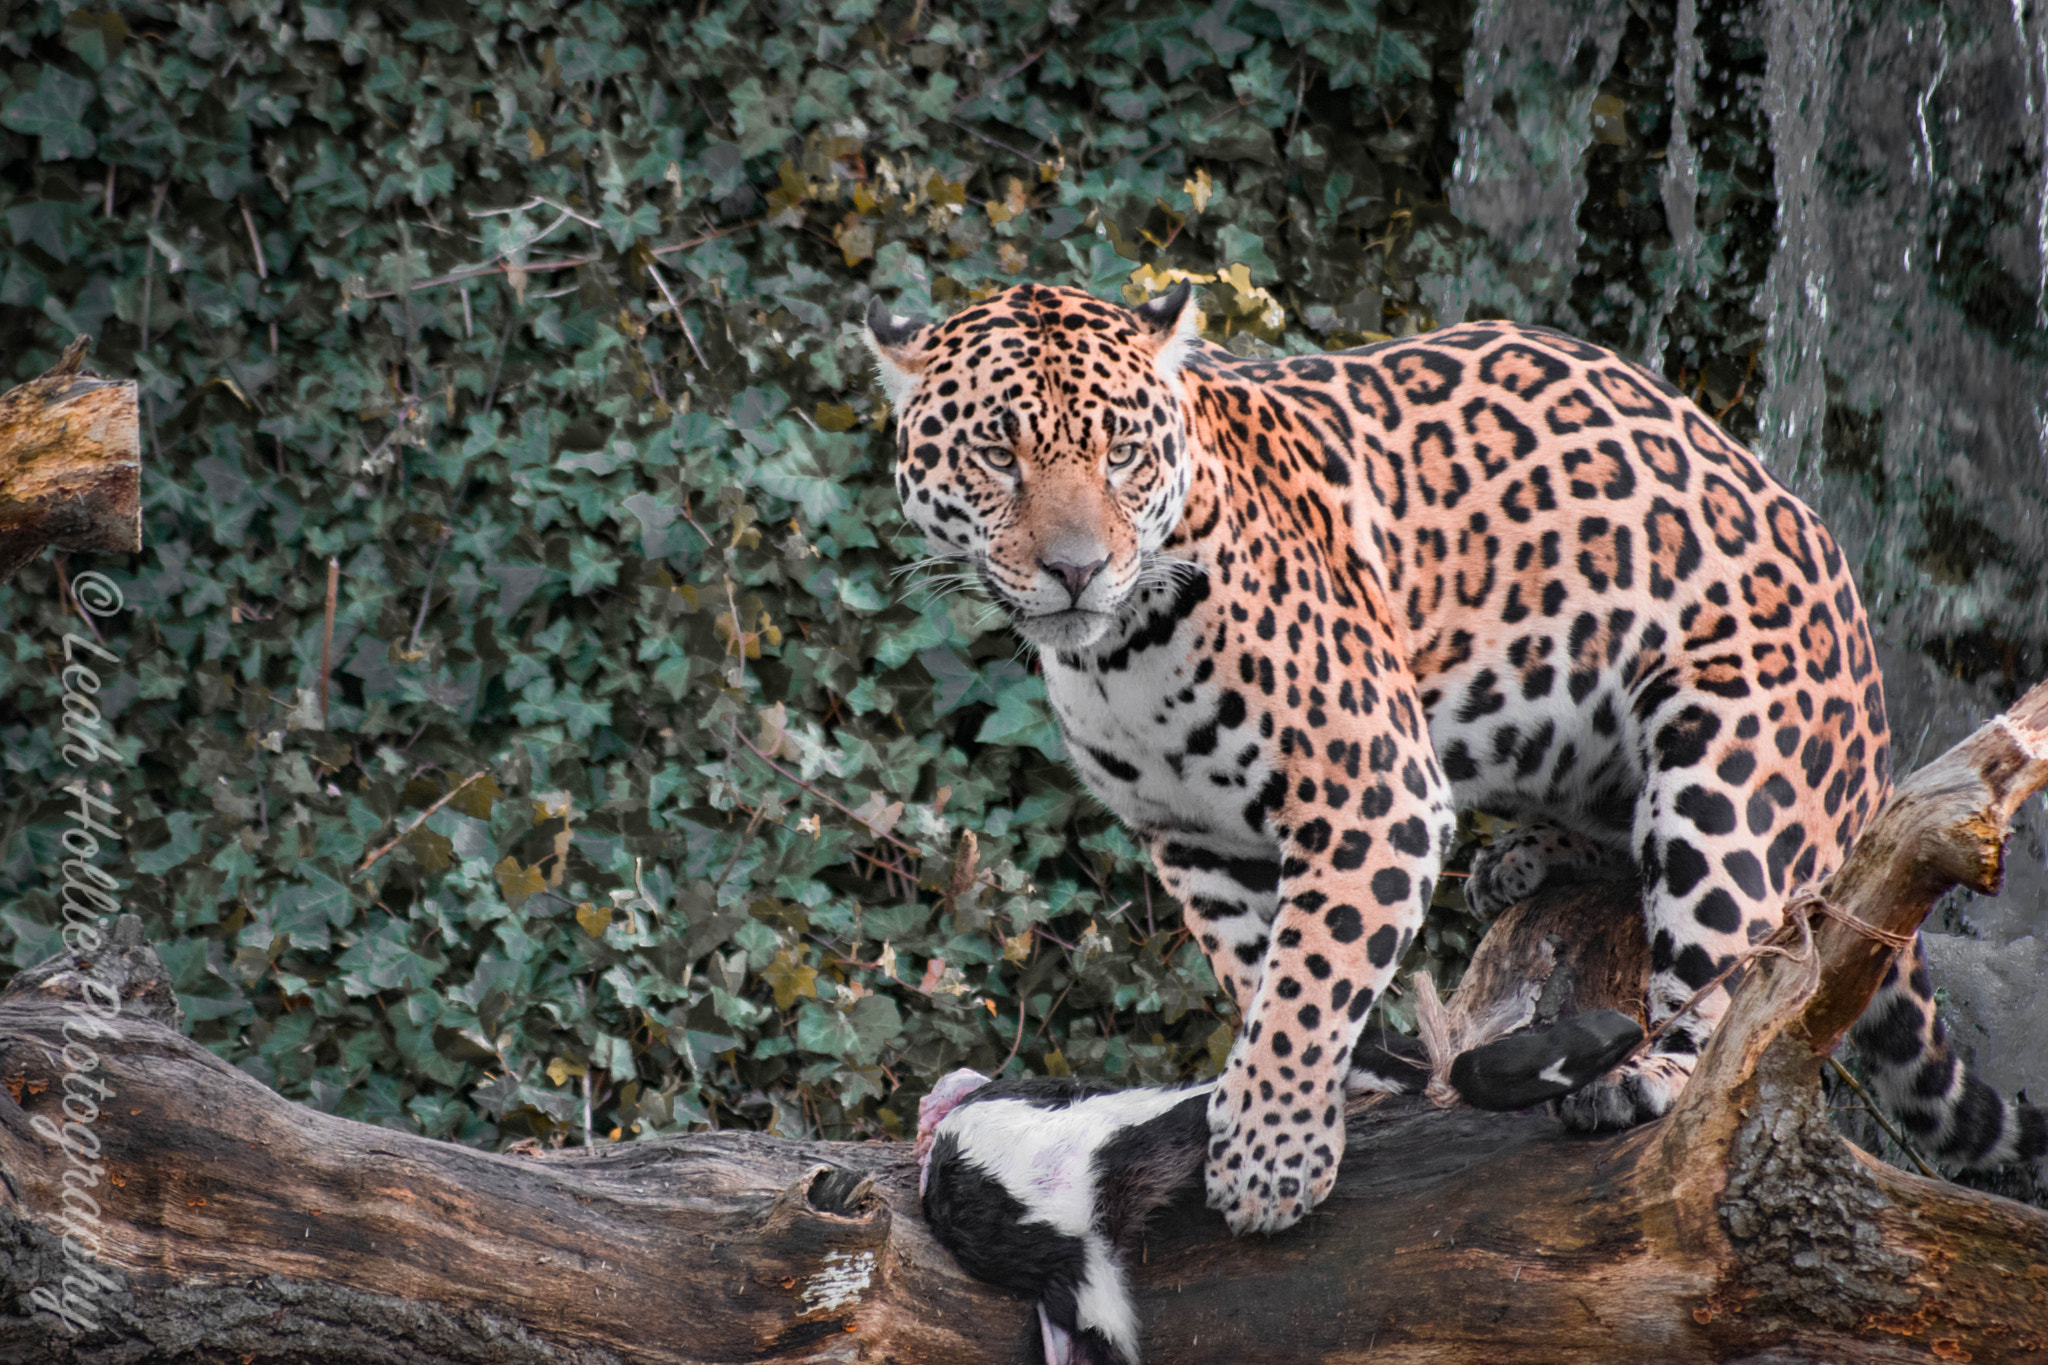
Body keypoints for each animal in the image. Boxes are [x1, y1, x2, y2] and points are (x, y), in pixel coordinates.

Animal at [867, 281, 2046, 1235]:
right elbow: (1258, 964)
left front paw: (1269, 1157)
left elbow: (1311, 972)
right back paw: (1524, 858)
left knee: (1738, 993)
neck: (1118, 653)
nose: (1075, 568)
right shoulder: (1188, 835)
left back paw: (1645, 1074)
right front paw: (1319, 1093)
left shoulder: (1371, 790)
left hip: (1729, 773)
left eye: (1121, 453)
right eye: (997, 455)